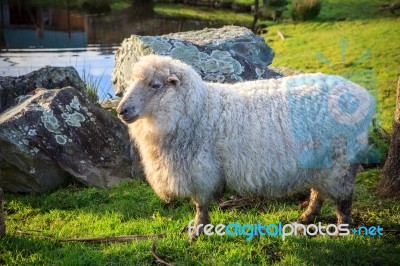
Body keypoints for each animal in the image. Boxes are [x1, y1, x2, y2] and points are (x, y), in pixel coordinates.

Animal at [115, 55, 376, 240]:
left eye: (155, 85)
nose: (121, 110)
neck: (200, 109)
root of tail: (363, 95)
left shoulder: (201, 172)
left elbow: (200, 204)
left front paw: (197, 231)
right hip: (319, 162)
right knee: (318, 192)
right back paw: (305, 218)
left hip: (340, 162)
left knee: (344, 198)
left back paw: (341, 230)